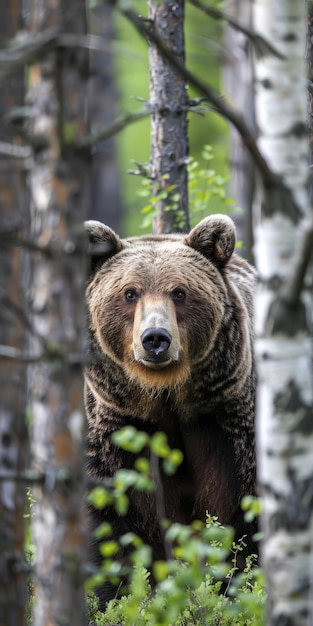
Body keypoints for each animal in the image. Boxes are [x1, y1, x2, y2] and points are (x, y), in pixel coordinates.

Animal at [83, 214, 256, 604]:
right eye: (129, 292)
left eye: (180, 292)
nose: (155, 339)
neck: (167, 395)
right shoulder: (121, 428)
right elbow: (114, 519)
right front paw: (116, 594)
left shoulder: (225, 421)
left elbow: (239, 508)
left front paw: (234, 585)